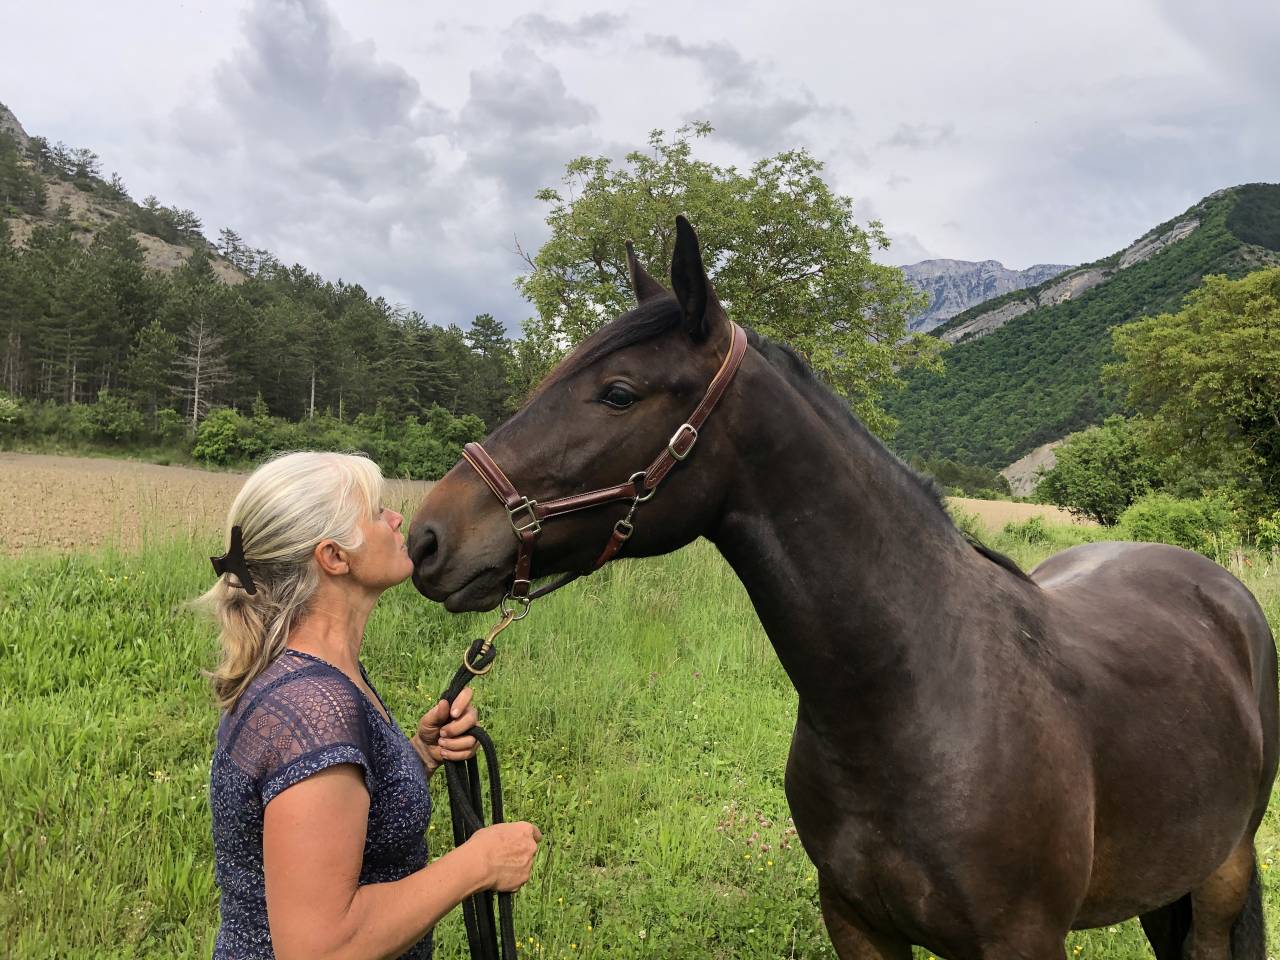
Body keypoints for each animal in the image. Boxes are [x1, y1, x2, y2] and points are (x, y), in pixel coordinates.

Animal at [407, 216, 1278, 960]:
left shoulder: (1021, 939)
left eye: (617, 393)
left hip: (1223, 871)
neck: (916, 700)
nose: (426, 538)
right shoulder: (857, 924)